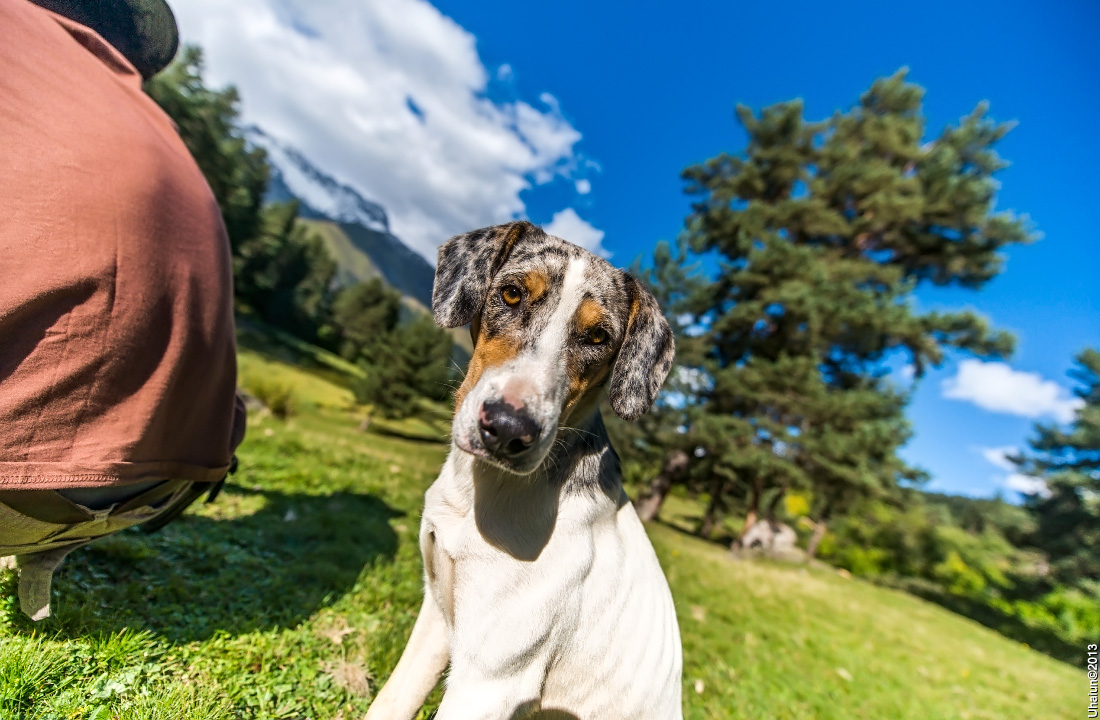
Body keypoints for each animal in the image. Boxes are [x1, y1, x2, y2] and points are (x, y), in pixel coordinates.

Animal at [367, 220, 677, 720]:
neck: (478, 496)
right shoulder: (438, 616)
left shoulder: (488, 681)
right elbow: (391, 702)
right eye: (511, 294)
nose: (508, 430)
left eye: (598, 338)